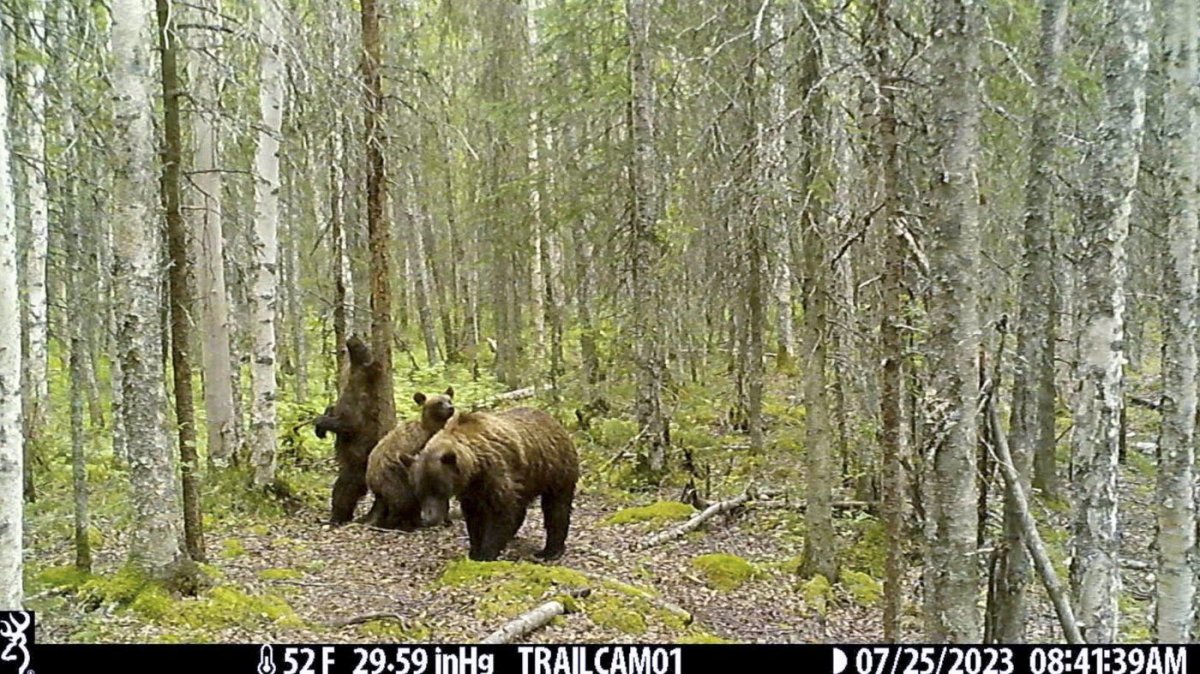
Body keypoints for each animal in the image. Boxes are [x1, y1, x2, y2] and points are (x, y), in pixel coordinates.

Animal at [314, 335, 398, 525]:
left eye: (365, 348)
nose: (354, 336)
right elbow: (332, 409)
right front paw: (320, 428)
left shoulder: (357, 409)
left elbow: (348, 424)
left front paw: (319, 423)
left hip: (357, 469)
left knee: (345, 490)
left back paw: (337, 517)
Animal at [362, 386, 456, 527]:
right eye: (438, 403)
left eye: (449, 400)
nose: (451, 408)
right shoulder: (420, 450)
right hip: (393, 478)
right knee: (402, 501)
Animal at [405, 407, 578, 558]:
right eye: (420, 492)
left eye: (438, 489)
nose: (428, 518)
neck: (475, 467)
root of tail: (554, 421)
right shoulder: (472, 490)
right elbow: (475, 517)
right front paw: (474, 551)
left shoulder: (495, 473)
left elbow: (499, 512)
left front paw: (486, 553)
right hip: (528, 479)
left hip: (554, 469)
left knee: (556, 507)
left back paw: (550, 551)